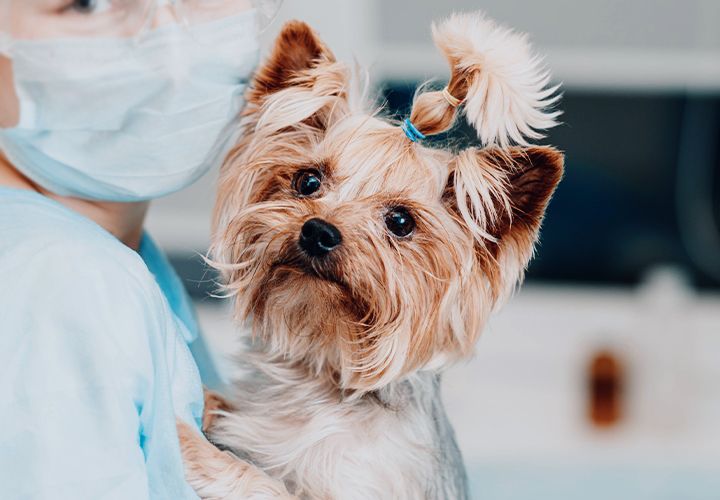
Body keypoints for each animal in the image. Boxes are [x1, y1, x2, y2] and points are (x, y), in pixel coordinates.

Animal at [177, 11, 564, 500]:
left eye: (400, 222)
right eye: (307, 181)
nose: (318, 232)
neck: (321, 374)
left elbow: (256, 478)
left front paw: (187, 439)